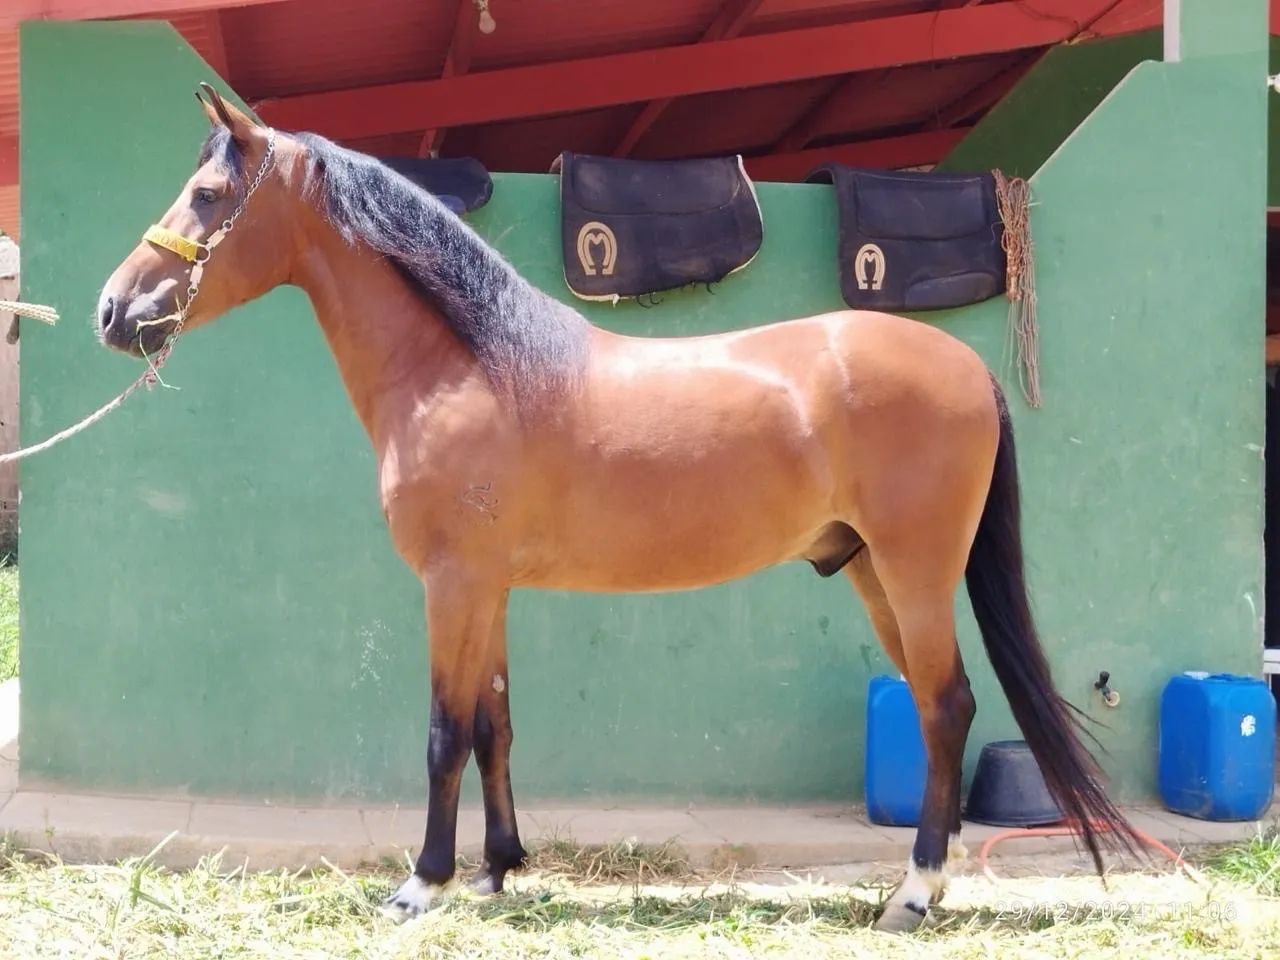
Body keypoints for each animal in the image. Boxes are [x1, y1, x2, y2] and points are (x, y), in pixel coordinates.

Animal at [96, 85, 1139, 933]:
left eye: (208, 196)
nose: (114, 311)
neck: (466, 368)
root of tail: (966, 365)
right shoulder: (490, 589)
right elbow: (494, 724)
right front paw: (498, 871)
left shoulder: (452, 584)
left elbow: (442, 733)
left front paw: (422, 884)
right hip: (872, 570)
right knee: (934, 707)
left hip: (914, 569)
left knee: (947, 705)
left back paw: (915, 895)